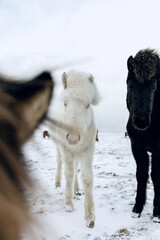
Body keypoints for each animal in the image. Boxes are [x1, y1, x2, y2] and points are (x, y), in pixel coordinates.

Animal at [50, 70, 100, 229]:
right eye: (65, 103)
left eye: (88, 105)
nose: (72, 138)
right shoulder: (66, 149)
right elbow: (69, 174)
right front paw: (68, 205)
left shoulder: (88, 150)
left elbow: (87, 179)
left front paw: (90, 217)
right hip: (59, 147)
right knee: (59, 162)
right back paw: (58, 183)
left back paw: (77, 189)